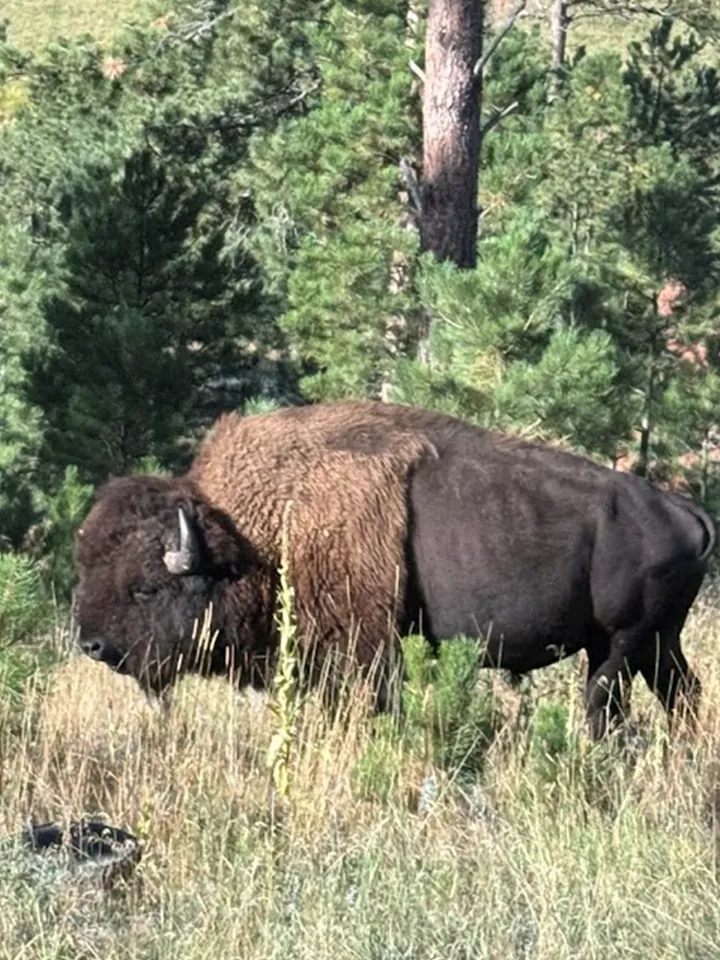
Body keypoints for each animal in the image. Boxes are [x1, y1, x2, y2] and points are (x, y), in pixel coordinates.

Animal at [73, 401, 716, 738]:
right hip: (656, 642)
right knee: (683, 695)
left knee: (606, 702)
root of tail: (684, 511)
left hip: (621, 643)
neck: (261, 528)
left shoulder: (362, 644)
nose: (92, 644)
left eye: (146, 587)